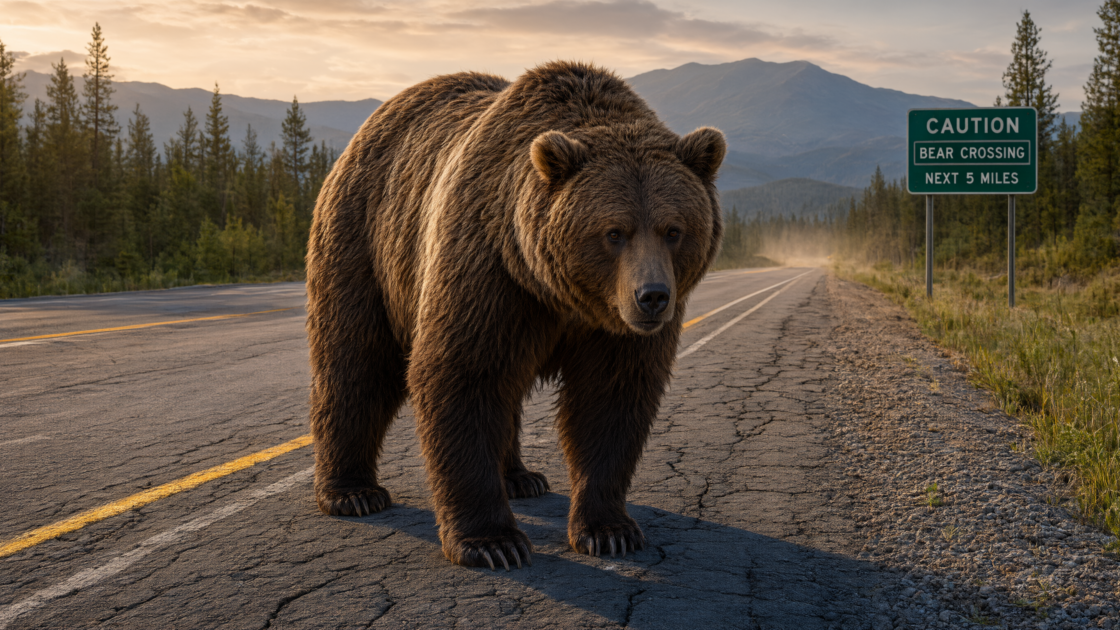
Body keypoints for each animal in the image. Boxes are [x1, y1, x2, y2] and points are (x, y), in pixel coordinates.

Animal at [305, 60, 725, 570]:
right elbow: (462, 374)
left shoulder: (610, 328)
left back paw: (521, 477)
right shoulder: (490, 268)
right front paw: (493, 542)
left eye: (673, 229)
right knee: (356, 362)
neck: (562, 293)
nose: (653, 297)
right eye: (614, 231)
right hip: (365, 243)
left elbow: (612, 398)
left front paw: (610, 529)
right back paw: (352, 493)